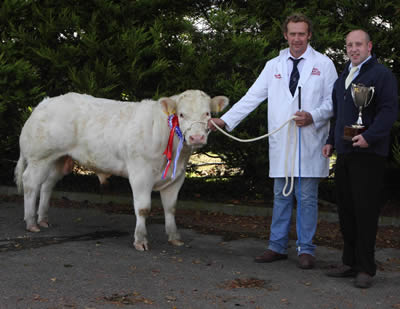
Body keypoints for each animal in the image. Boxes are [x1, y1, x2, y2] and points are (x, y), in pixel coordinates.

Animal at [14, 89, 228, 250]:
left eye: (207, 114)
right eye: (181, 115)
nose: (197, 138)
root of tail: (44, 103)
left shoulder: (177, 177)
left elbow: (171, 208)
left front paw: (174, 237)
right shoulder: (140, 174)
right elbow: (143, 208)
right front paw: (140, 240)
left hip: (59, 159)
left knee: (47, 185)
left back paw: (42, 219)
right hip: (40, 157)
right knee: (31, 183)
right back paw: (31, 223)